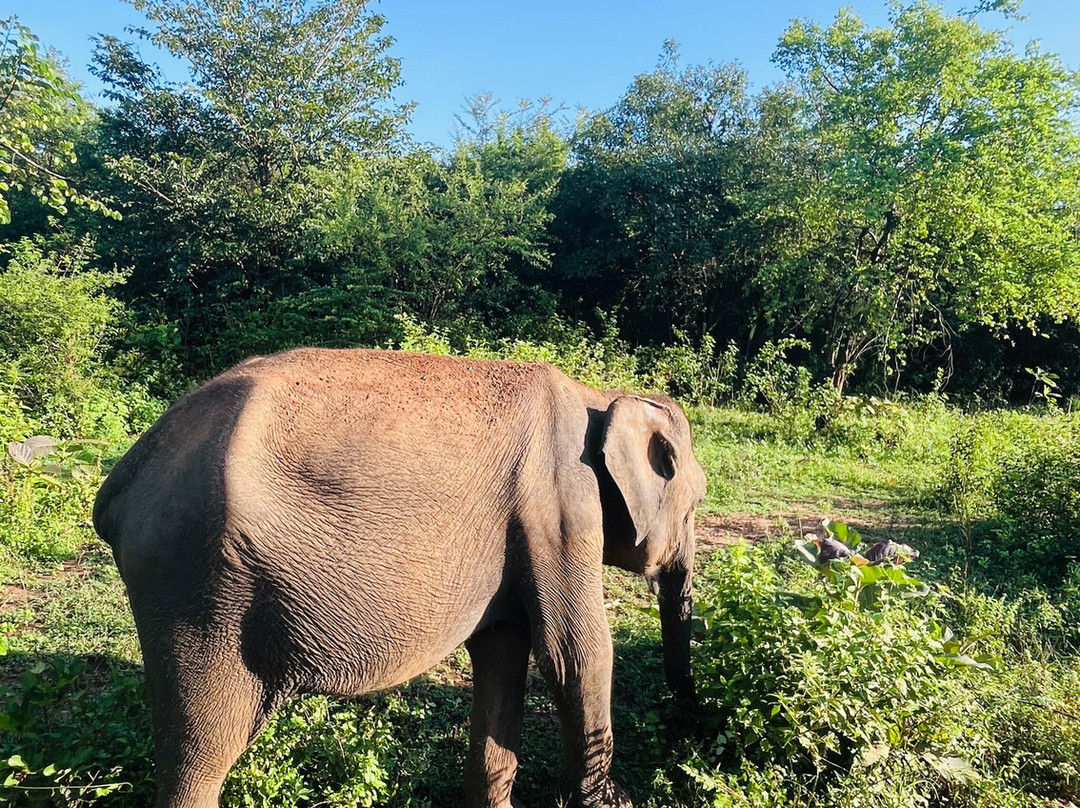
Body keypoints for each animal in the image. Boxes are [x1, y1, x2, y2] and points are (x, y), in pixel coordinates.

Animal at [93, 348, 707, 808]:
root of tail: (123, 477)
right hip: (194, 586)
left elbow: (503, 651)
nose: (687, 719)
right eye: (697, 504)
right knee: (200, 750)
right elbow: (575, 652)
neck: (597, 396)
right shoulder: (560, 506)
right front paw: (616, 801)